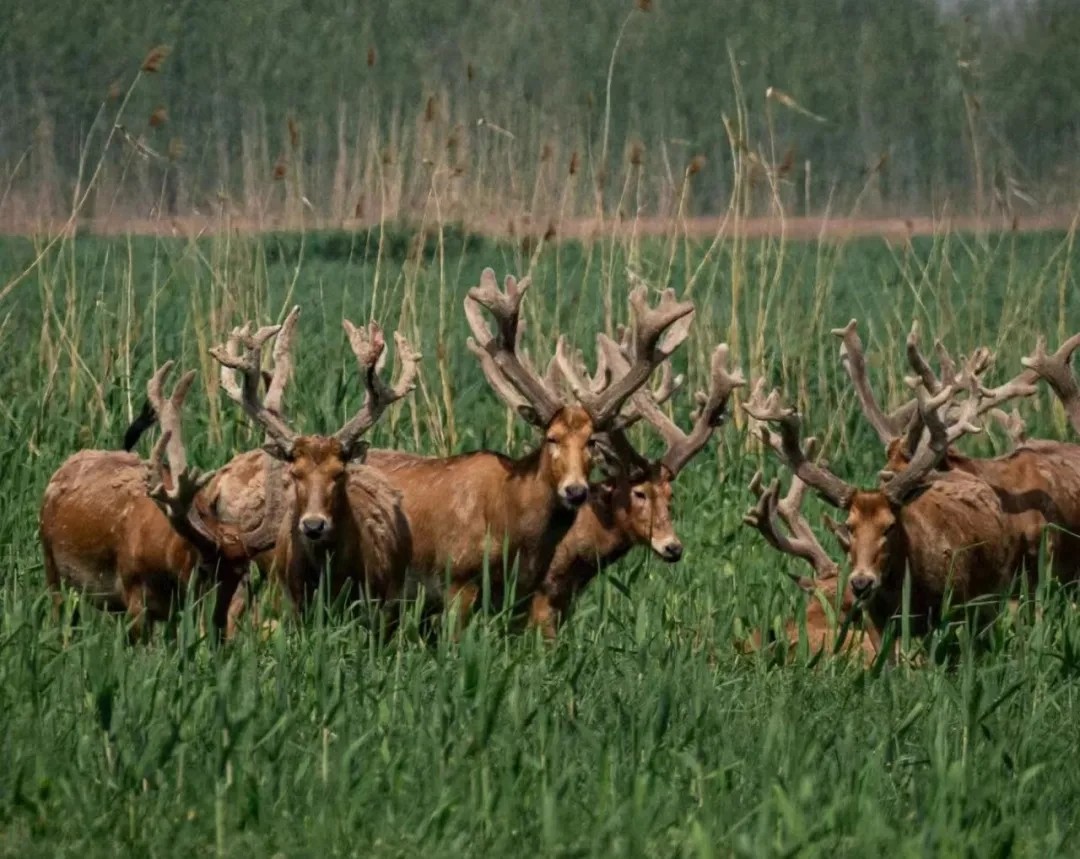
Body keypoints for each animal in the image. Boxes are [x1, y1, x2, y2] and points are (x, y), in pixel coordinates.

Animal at [39, 360, 278, 641]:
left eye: (243, 572)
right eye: (205, 570)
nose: (219, 626)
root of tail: (62, 468)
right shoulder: (133, 591)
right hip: (50, 561)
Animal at [742, 377, 1023, 646]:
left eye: (890, 526)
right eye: (849, 526)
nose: (861, 583)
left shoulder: (951, 608)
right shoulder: (876, 621)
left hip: (993, 595)